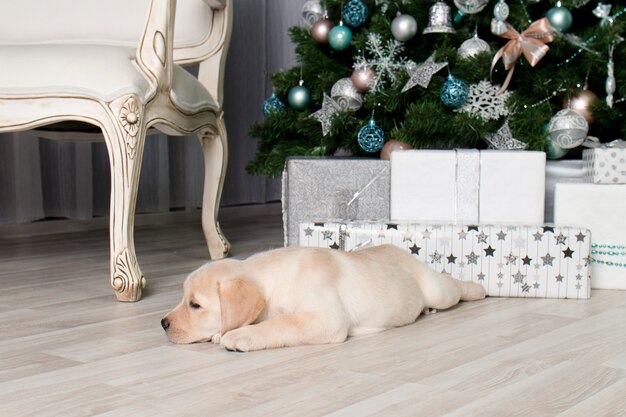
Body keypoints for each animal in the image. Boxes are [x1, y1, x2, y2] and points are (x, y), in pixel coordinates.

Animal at [160, 244, 482, 352]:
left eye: (195, 305)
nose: (162, 323)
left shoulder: (327, 319)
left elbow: (281, 323)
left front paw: (240, 335)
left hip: (438, 289)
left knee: (452, 284)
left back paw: (479, 288)